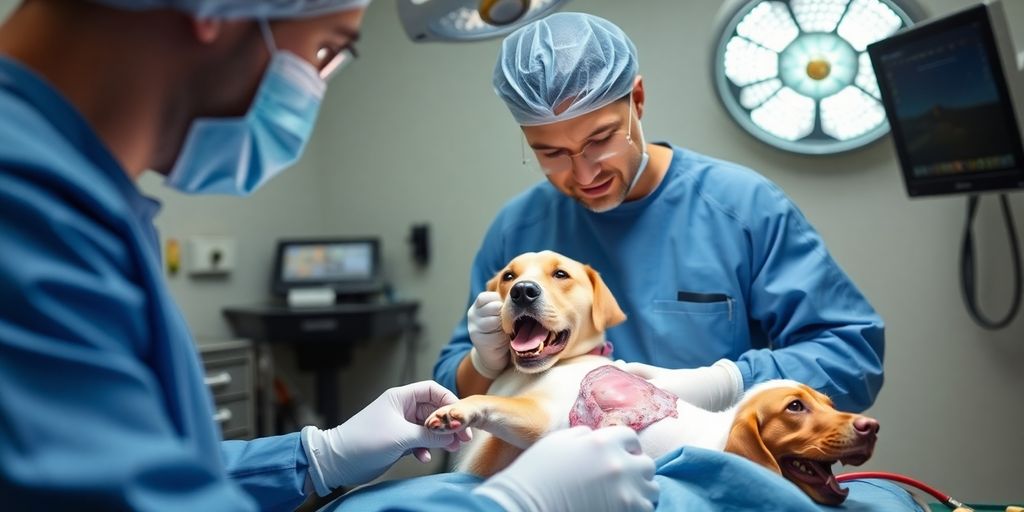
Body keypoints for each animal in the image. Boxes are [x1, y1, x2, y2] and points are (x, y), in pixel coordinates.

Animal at [423, 249, 880, 505]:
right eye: (508, 276)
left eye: (560, 275)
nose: (523, 291)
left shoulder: (538, 421)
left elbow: (490, 404)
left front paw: (458, 411)